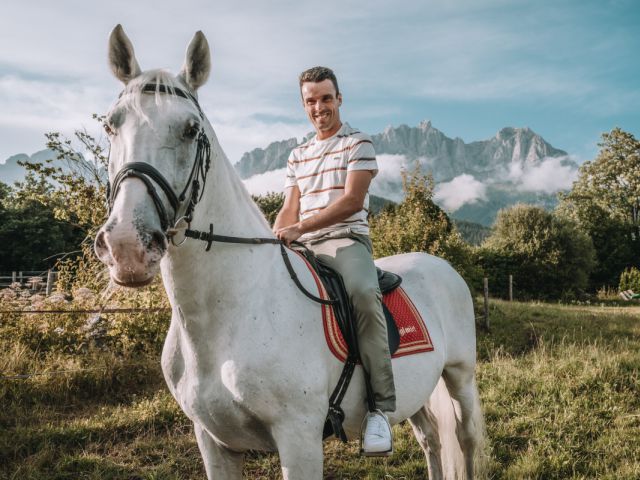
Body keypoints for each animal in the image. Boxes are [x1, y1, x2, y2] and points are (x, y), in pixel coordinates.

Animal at [95, 26, 484, 480]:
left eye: (191, 129)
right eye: (110, 125)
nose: (126, 244)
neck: (230, 316)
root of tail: (439, 265)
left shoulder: (299, 439)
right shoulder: (213, 442)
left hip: (460, 376)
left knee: (465, 439)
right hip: (417, 392)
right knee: (432, 440)